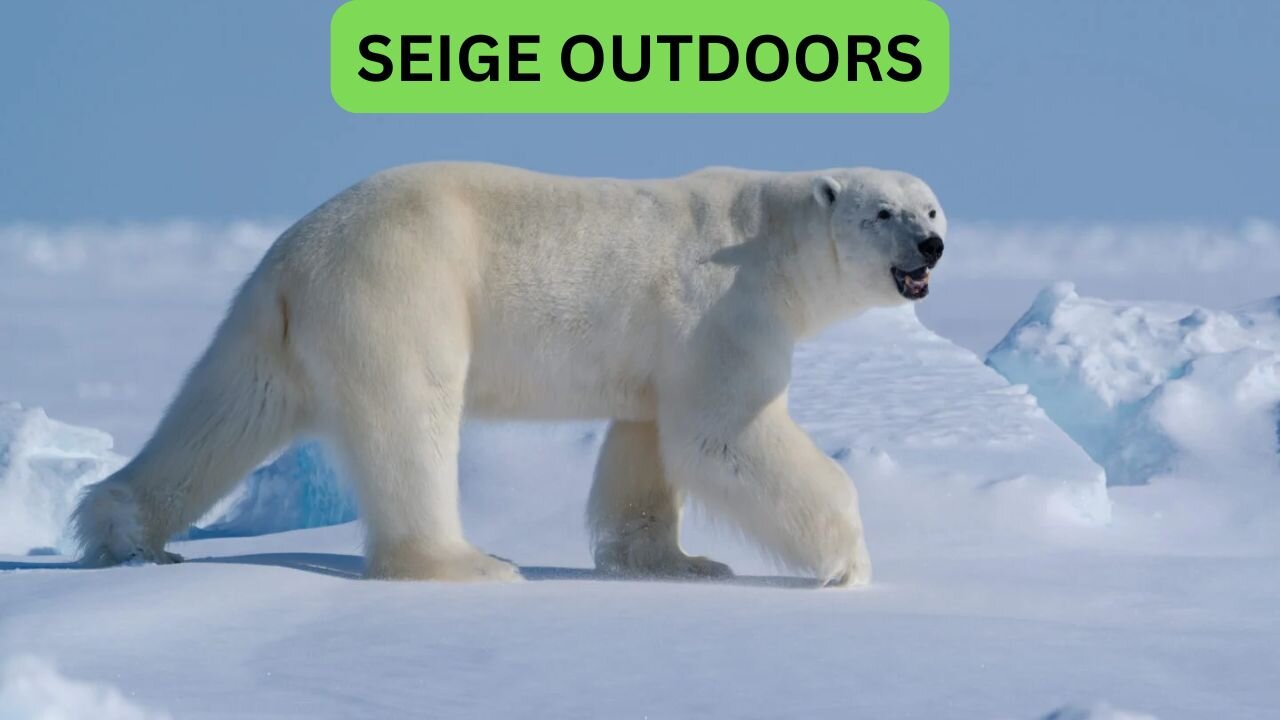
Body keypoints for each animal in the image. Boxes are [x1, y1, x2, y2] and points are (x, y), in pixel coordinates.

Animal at [71, 162, 946, 586]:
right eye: (883, 212)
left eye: (931, 207)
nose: (932, 246)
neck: (766, 236)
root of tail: (294, 253)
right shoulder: (722, 308)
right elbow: (721, 433)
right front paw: (851, 562)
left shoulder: (663, 349)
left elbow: (647, 440)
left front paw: (677, 562)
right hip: (403, 284)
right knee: (412, 418)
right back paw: (466, 562)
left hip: (272, 327)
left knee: (225, 408)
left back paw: (122, 533)